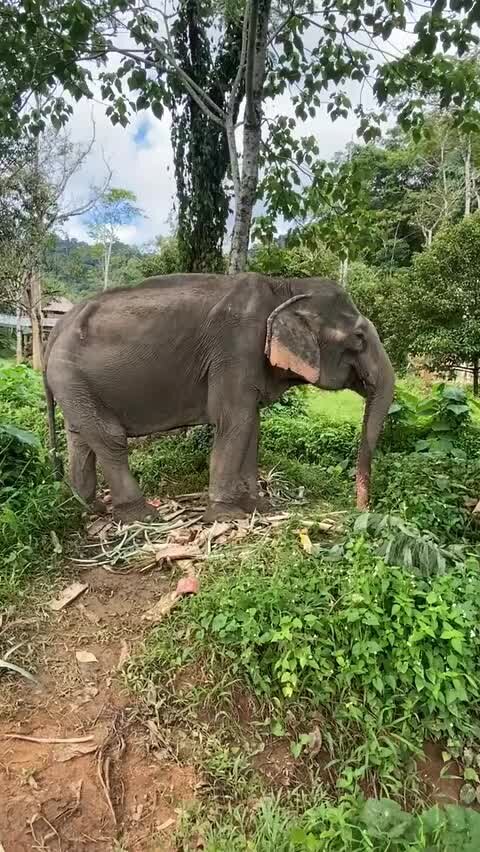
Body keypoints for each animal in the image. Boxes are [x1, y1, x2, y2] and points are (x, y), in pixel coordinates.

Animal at [43, 276, 394, 524]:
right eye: (358, 339)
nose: (360, 508)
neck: (285, 287)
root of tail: (56, 327)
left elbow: (251, 425)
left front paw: (258, 506)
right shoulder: (236, 349)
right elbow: (234, 421)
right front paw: (226, 515)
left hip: (73, 384)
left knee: (80, 437)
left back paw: (91, 508)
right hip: (69, 374)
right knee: (109, 439)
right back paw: (141, 516)